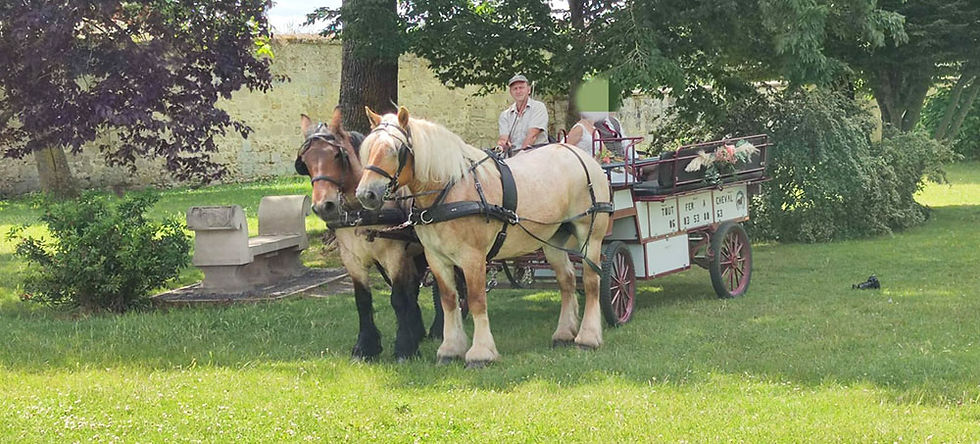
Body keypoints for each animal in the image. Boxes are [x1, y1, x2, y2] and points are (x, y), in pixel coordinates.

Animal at [295, 108, 444, 362]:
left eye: (337, 155)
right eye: (305, 162)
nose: (324, 206)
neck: (361, 212)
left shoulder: (394, 255)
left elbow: (397, 297)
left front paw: (404, 348)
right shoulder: (352, 259)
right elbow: (363, 300)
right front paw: (366, 346)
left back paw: (438, 329)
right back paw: (419, 330)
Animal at [355, 106, 613, 368]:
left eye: (395, 150)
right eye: (368, 149)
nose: (366, 194)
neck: (451, 190)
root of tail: (581, 156)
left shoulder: (473, 258)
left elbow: (477, 300)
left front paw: (481, 353)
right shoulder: (436, 258)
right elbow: (449, 301)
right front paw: (450, 349)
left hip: (590, 235)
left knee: (591, 281)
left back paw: (588, 337)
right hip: (553, 240)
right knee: (567, 281)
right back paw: (564, 333)